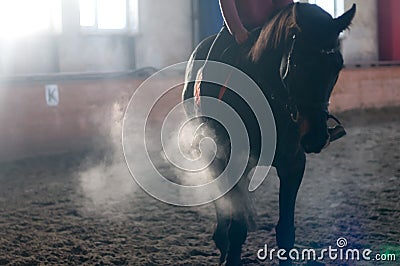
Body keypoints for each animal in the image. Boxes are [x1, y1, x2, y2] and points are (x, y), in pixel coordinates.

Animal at [183, 3, 354, 264]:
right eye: (297, 65)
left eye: (337, 65)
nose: (315, 138)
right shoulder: (236, 161)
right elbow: (237, 227)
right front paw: (230, 253)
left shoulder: (293, 165)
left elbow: (286, 231)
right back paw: (221, 240)